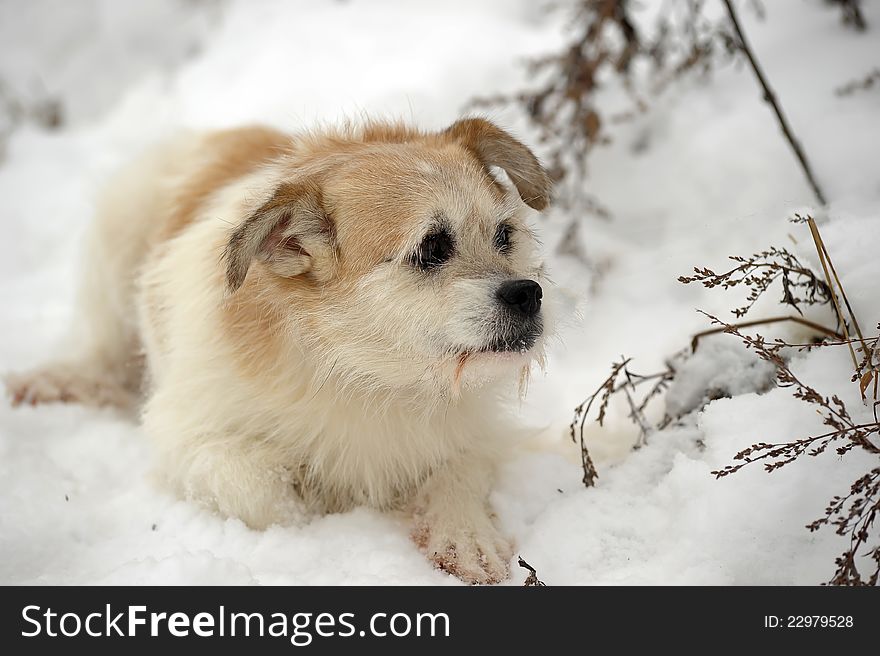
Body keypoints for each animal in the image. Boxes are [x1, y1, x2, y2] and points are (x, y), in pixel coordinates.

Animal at [6, 118, 552, 584]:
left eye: (505, 235)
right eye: (433, 247)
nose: (528, 294)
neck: (364, 374)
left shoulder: (475, 433)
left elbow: (460, 472)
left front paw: (464, 534)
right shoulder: (185, 437)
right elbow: (266, 490)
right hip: (118, 229)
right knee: (99, 349)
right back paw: (64, 378)